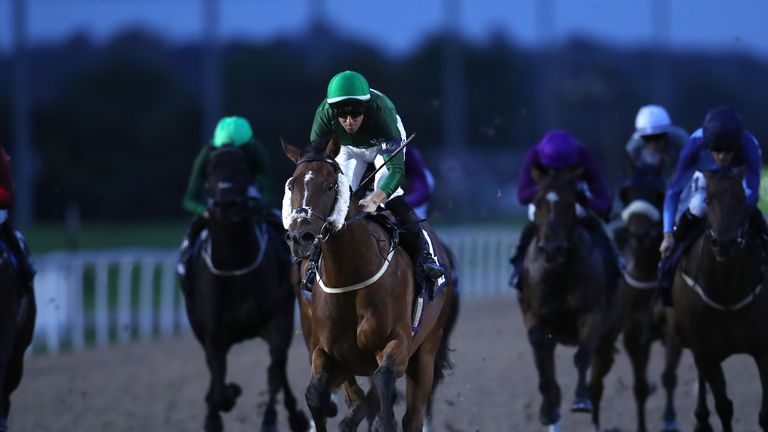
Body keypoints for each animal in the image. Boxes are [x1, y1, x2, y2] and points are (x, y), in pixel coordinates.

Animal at [182, 145, 308, 432]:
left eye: (243, 167)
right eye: (210, 169)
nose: (227, 202)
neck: (235, 265)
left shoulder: (277, 320)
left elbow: (275, 370)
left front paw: (276, 418)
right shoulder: (211, 331)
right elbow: (217, 379)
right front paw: (220, 406)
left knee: (278, 368)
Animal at [280, 138, 450, 432]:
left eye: (331, 185)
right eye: (292, 185)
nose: (300, 237)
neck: (349, 276)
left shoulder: (398, 343)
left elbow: (383, 386)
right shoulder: (326, 350)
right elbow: (316, 395)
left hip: (428, 347)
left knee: (412, 417)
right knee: (356, 403)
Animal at [520, 167, 624, 430]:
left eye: (571, 203)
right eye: (538, 201)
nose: (551, 248)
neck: (559, 272)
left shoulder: (591, 314)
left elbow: (582, 355)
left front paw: (580, 400)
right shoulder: (534, 316)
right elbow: (543, 364)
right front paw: (548, 409)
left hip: (608, 338)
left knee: (597, 381)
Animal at [612, 162, 684, 432]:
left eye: (658, 193)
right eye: (626, 192)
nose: (640, 233)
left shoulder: (672, 329)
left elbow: (669, 377)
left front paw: (670, 420)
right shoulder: (634, 335)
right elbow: (640, 386)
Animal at [672, 170, 768, 432]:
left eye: (741, 199)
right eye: (707, 201)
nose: (724, 243)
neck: (727, 293)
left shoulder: (763, 348)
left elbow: (766, 413)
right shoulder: (704, 352)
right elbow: (724, 407)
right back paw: (701, 418)